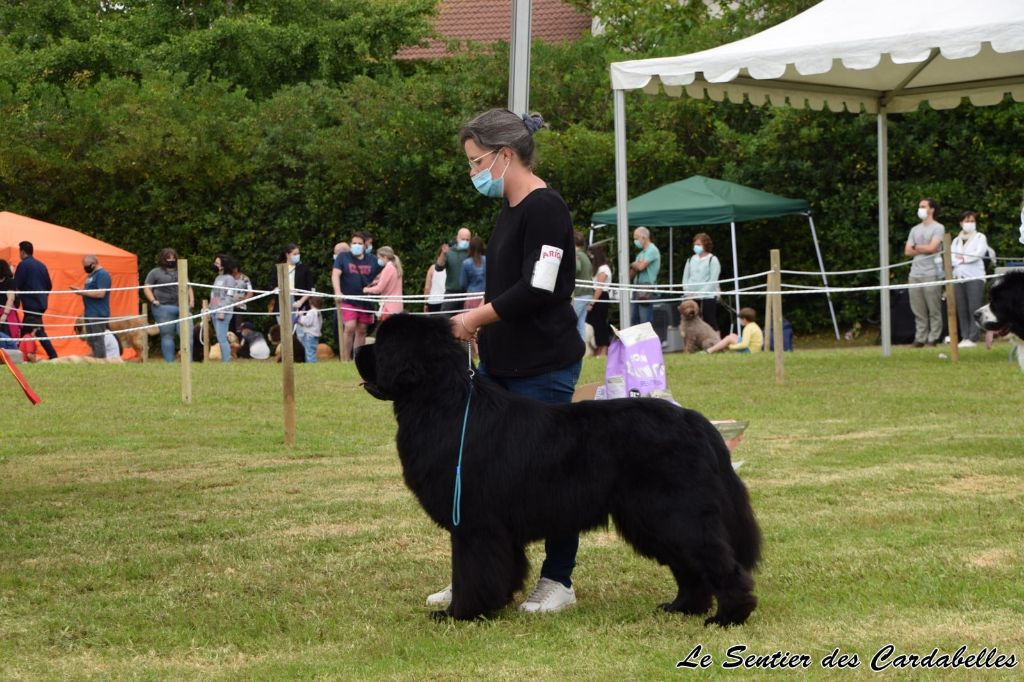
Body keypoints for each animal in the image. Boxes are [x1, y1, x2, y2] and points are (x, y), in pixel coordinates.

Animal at [356, 311, 765, 622]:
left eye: (382, 343)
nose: (359, 348)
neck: (441, 402)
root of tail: (695, 420)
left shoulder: (474, 523)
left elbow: (472, 571)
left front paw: (460, 613)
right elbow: (501, 569)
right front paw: (494, 604)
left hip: (673, 512)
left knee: (718, 561)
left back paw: (728, 616)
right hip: (652, 518)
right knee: (691, 567)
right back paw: (683, 608)